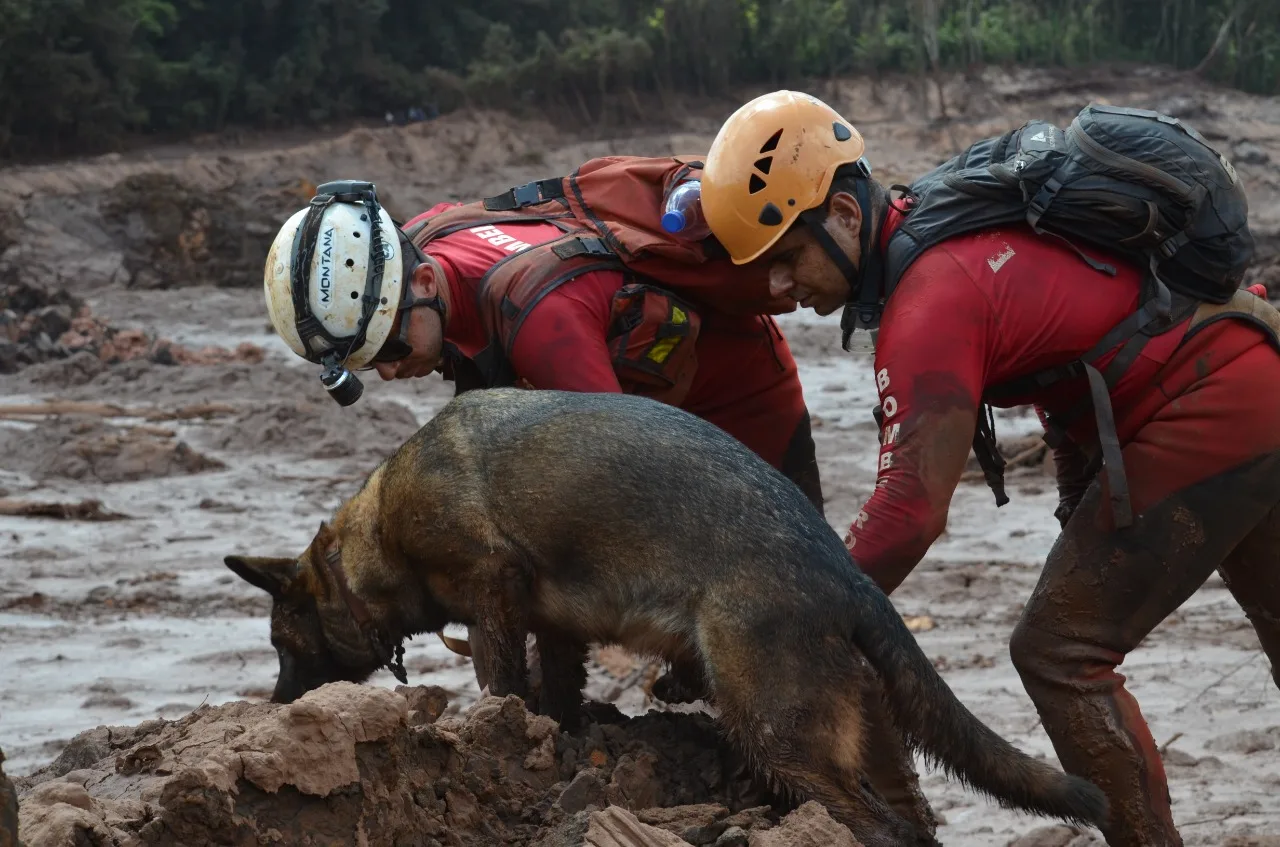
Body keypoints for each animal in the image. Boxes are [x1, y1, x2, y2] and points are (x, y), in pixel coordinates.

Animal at [230, 388, 1111, 844]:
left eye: (280, 640)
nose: (274, 707)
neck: (374, 535)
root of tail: (843, 574)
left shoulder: (491, 585)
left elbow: (499, 676)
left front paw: (501, 719)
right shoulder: (552, 620)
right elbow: (555, 682)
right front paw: (557, 728)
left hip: (778, 733)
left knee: (874, 825)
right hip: (862, 731)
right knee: (912, 820)